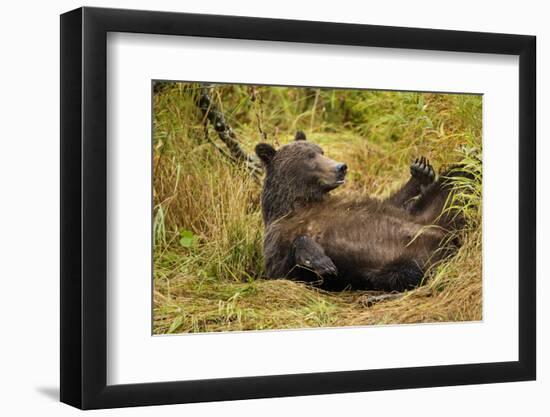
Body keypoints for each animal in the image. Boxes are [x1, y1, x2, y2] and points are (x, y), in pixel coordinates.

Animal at [256, 132, 468, 290]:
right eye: (309, 156)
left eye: (321, 150)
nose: (341, 167)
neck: (301, 202)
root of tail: (450, 239)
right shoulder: (278, 236)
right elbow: (289, 268)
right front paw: (321, 261)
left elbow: (395, 203)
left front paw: (421, 172)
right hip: (399, 260)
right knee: (409, 272)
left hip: (433, 215)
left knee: (457, 179)